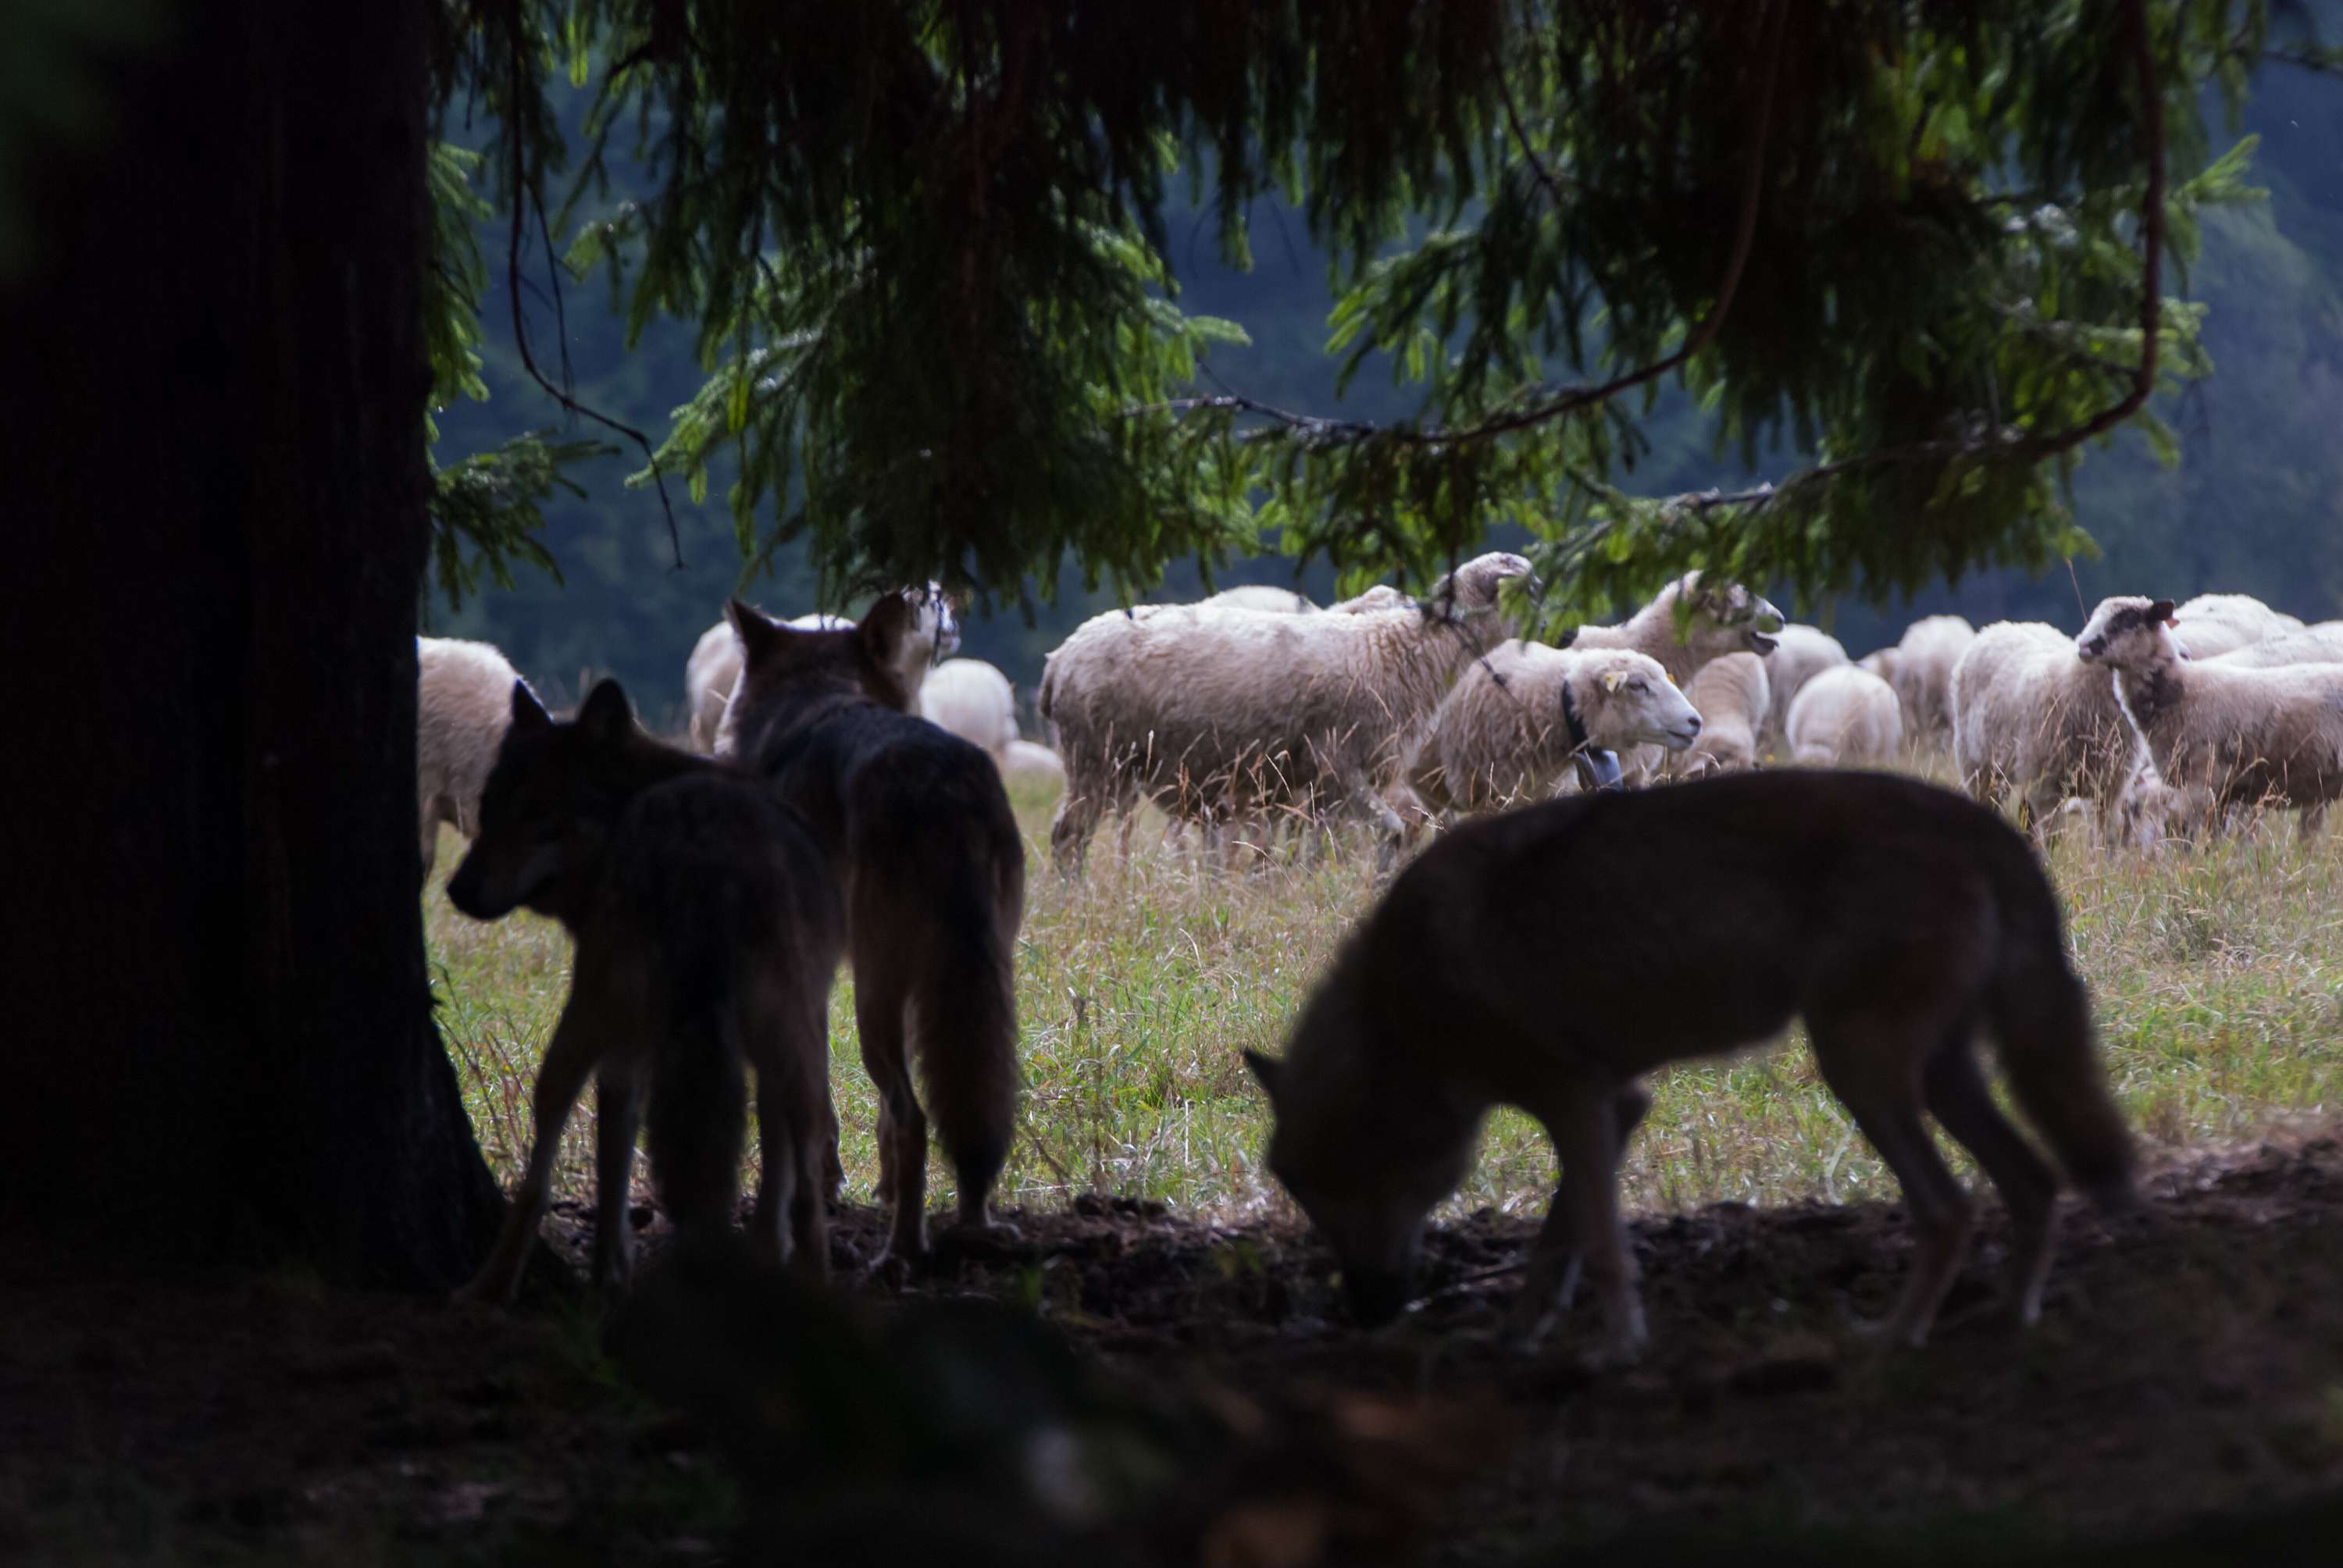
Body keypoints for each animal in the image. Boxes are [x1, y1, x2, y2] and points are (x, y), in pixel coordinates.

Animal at [446, 678, 847, 1302]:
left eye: (538, 813)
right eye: (487, 811)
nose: (457, 890)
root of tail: (705, 848)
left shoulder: (622, 1049)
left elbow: (612, 1158)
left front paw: (610, 1271)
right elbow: (776, 1166)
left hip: (583, 1020)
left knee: (538, 1172)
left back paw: (488, 1287)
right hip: (794, 1049)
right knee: (807, 1186)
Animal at [1037, 551, 1534, 872]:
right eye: (1530, 587)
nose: (1544, 624)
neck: (1396, 648)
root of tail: (1059, 658)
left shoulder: (1315, 790)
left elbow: (1315, 848)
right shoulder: (1338, 766)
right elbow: (1388, 832)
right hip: (1095, 760)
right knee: (1067, 837)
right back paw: (1074, 901)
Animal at [1246, 769, 2135, 1361]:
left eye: (1343, 1197)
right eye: (1308, 1203)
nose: (1366, 1314)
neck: (1403, 1005)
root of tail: (1977, 821)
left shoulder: (1577, 1103)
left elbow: (1602, 1245)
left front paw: (1617, 1354)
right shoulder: (1616, 1107)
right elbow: (1559, 1243)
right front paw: (1520, 1336)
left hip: (1861, 1071)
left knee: (1951, 1207)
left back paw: (1893, 1337)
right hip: (1938, 1080)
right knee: (2033, 1184)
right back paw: (2008, 1322)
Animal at [1950, 613, 2143, 835]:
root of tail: (1996, 627)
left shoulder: (2109, 788)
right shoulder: (2048, 788)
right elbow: (2054, 835)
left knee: (2026, 814)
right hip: (1980, 769)